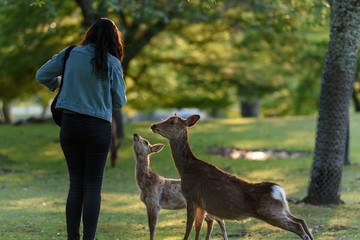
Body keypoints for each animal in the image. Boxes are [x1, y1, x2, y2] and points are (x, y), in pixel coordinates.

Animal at [150, 114, 314, 240]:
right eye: (165, 118)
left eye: (172, 121)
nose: (153, 125)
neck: (185, 169)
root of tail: (279, 191)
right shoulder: (201, 204)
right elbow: (197, 228)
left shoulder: (192, 197)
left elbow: (190, 228)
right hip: (281, 209)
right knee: (302, 221)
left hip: (270, 212)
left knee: (298, 226)